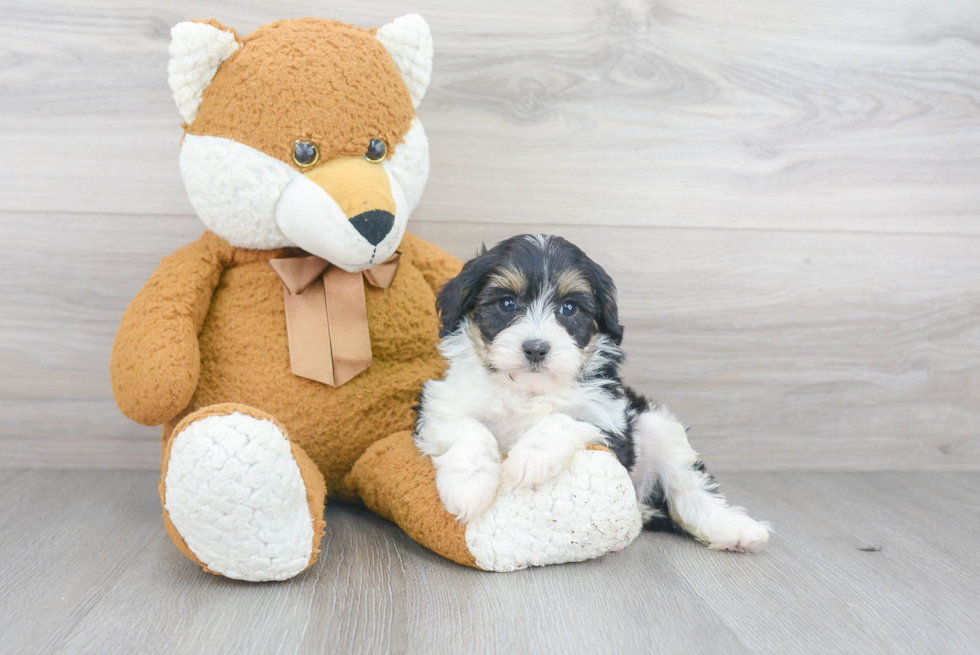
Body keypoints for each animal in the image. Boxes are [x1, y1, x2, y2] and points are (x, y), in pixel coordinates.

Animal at [414, 233, 764, 552]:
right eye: (507, 303)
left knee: (689, 486)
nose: (536, 348)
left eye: (569, 308)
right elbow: (469, 429)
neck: (529, 389)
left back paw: (735, 529)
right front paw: (468, 485)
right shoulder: (440, 405)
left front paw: (531, 457)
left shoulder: (610, 422)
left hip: (655, 424)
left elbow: (565, 419)